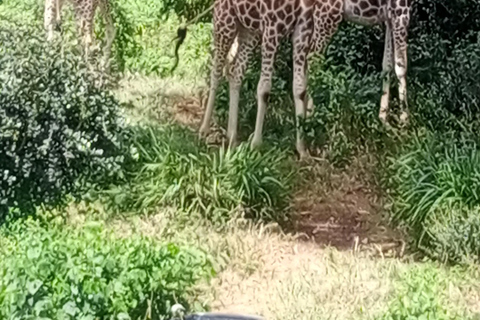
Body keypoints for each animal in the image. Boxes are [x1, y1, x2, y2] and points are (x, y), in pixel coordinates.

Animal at [180, 0, 412, 158]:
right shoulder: (401, 11)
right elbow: (401, 66)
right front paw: (404, 122)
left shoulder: (387, 16)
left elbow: (386, 64)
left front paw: (384, 119)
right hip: (227, 22)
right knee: (217, 71)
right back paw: (204, 130)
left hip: (249, 30)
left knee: (235, 71)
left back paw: (232, 135)